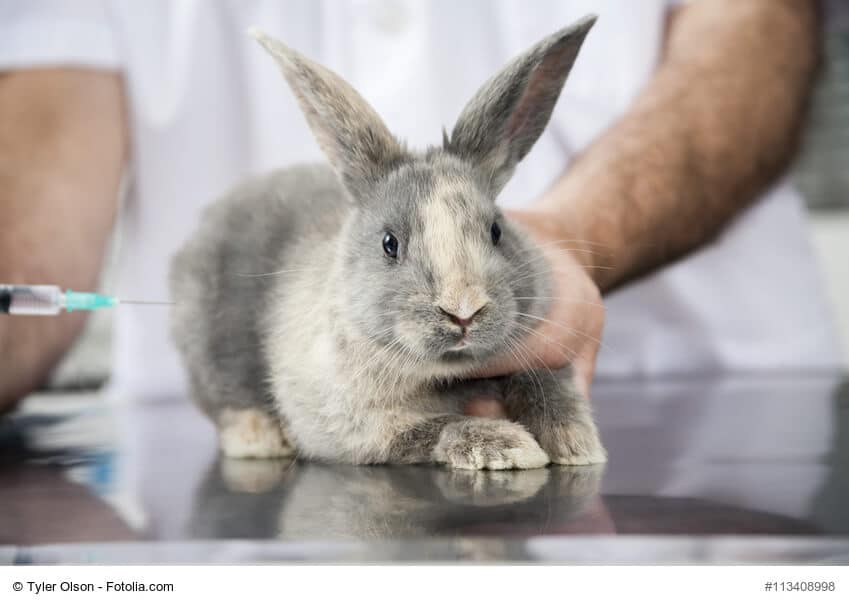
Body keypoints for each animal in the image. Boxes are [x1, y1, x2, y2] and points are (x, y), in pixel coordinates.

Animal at [169, 15, 607, 470]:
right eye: (389, 243)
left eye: (496, 231)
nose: (463, 312)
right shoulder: (357, 425)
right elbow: (438, 426)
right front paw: (508, 446)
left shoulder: (541, 357)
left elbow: (550, 386)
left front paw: (576, 444)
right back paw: (260, 437)